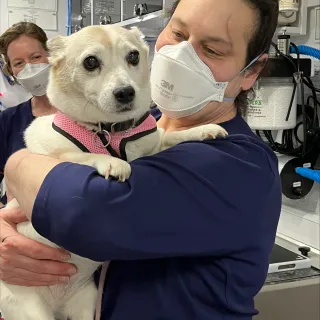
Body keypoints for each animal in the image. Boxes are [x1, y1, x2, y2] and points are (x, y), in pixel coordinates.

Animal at [0, 25, 226, 320]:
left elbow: (168, 137)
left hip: (86, 305)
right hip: (30, 309)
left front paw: (203, 129)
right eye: (90, 62)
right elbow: (80, 154)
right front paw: (113, 163)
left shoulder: (152, 147)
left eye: (133, 56)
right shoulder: (52, 152)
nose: (125, 92)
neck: (110, 130)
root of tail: (58, 307)